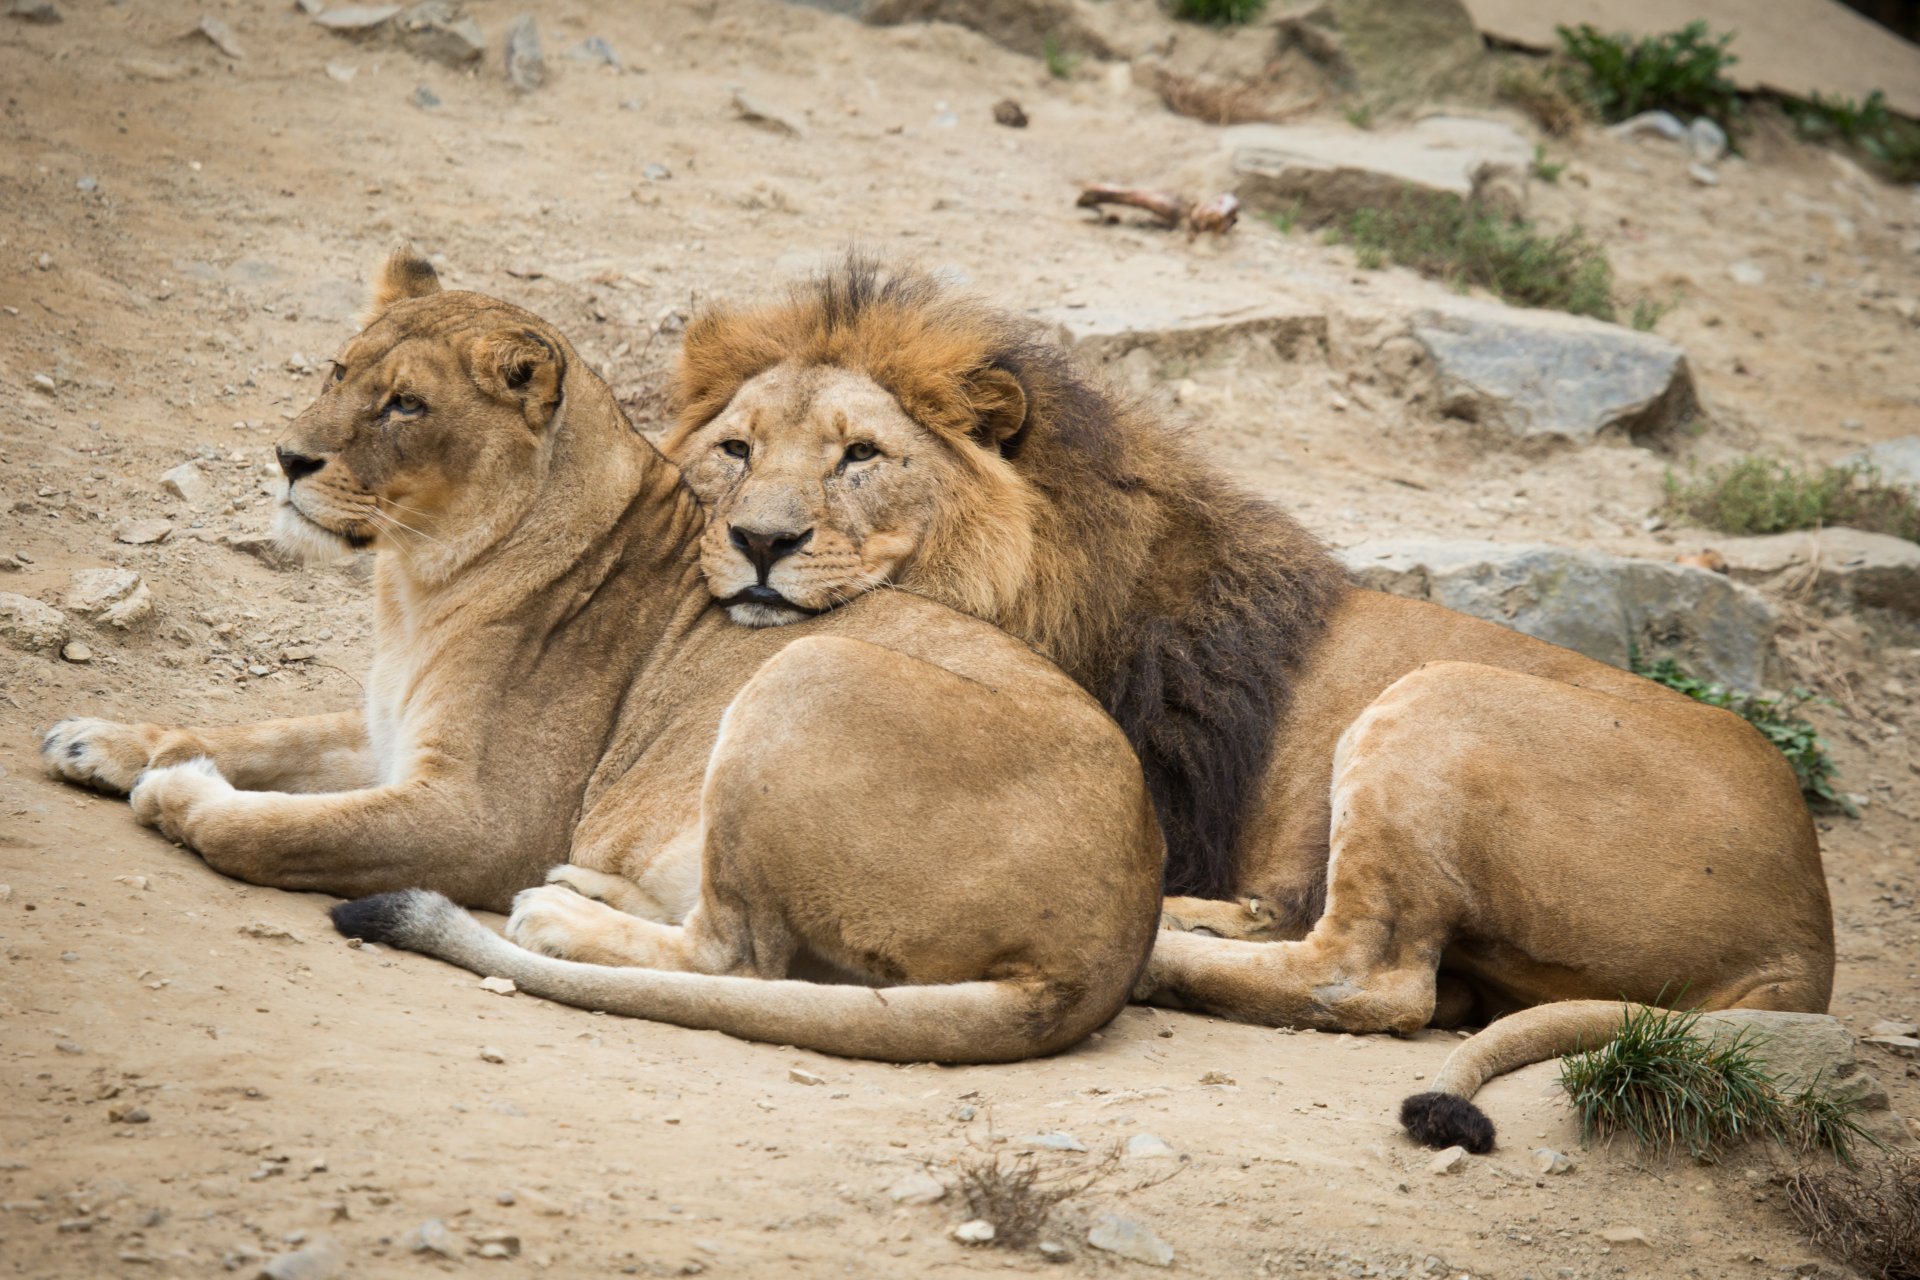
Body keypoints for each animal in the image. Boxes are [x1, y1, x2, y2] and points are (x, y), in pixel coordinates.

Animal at [38, 251, 1166, 1064]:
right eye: (336, 372)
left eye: (406, 405)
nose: (287, 458)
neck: (418, 581)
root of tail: (1106, 949)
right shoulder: (386, 732)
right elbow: (256, 731)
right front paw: (100, 739)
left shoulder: (485, 816)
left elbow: (284, 832)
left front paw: (184, 796)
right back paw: (590, 889)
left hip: (803, 676)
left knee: (745, 959)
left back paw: (559, 919)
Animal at [662, 260, 1834, 1149]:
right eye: (734, 448)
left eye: (863, 455)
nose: (762, 541)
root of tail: (1808, 938)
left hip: (1438, 698)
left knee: (1373, 979)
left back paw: (1167, 953)